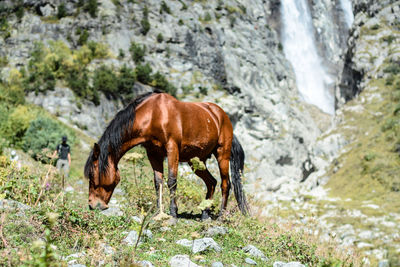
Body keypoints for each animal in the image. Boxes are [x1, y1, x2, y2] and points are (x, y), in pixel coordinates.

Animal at [83, 90, 247, 220]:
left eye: (92, 174)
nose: (92, 205)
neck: (153, 114)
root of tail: (221, 116)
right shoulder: (154, 154)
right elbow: (158, 183)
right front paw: (158, 212)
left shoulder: (172, 149)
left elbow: (171, 181)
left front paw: (173, 212)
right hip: (196, 161)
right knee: (211, 182)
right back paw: (205, 214)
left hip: (222, 155)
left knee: (225, 184)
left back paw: (221, 216)